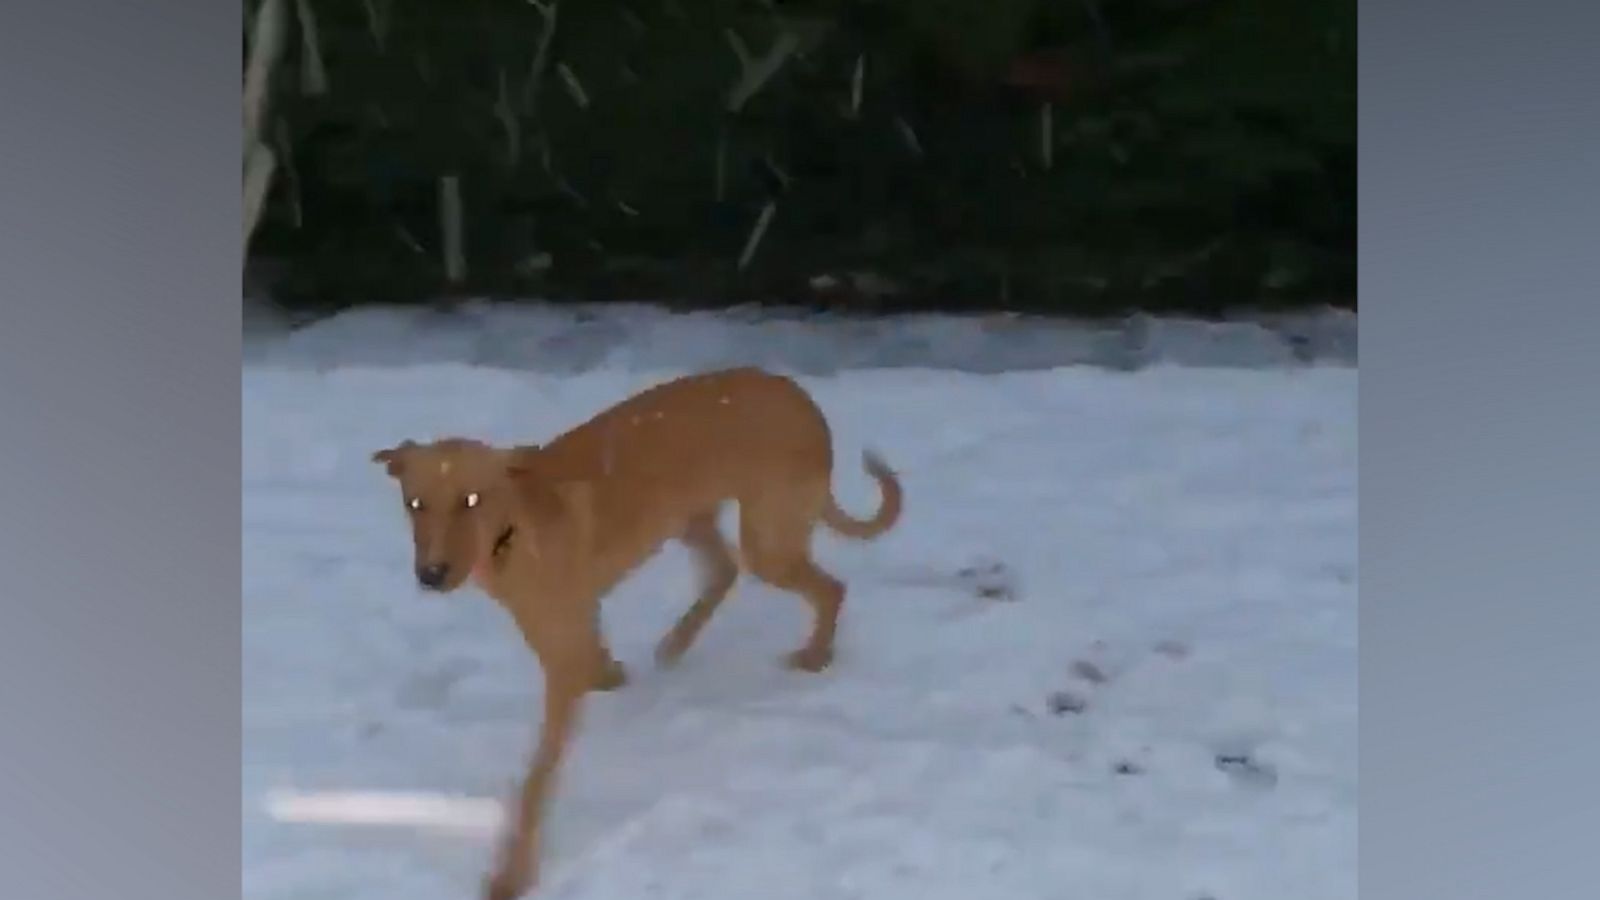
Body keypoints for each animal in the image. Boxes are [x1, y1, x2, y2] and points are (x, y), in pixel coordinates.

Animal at [368, 366, 908, 896]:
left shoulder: (562, 664)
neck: (514, 530)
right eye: (414, 504)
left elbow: (537, 779)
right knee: (724, 571)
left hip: (768, 542)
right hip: (691, 516)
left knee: (828, 588)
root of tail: (803, 399)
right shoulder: (578, 624)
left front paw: (512, 873)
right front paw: (613, 677)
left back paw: (816, 655)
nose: (431, 575)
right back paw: (677, 643)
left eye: (471, 500)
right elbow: (598, 661)